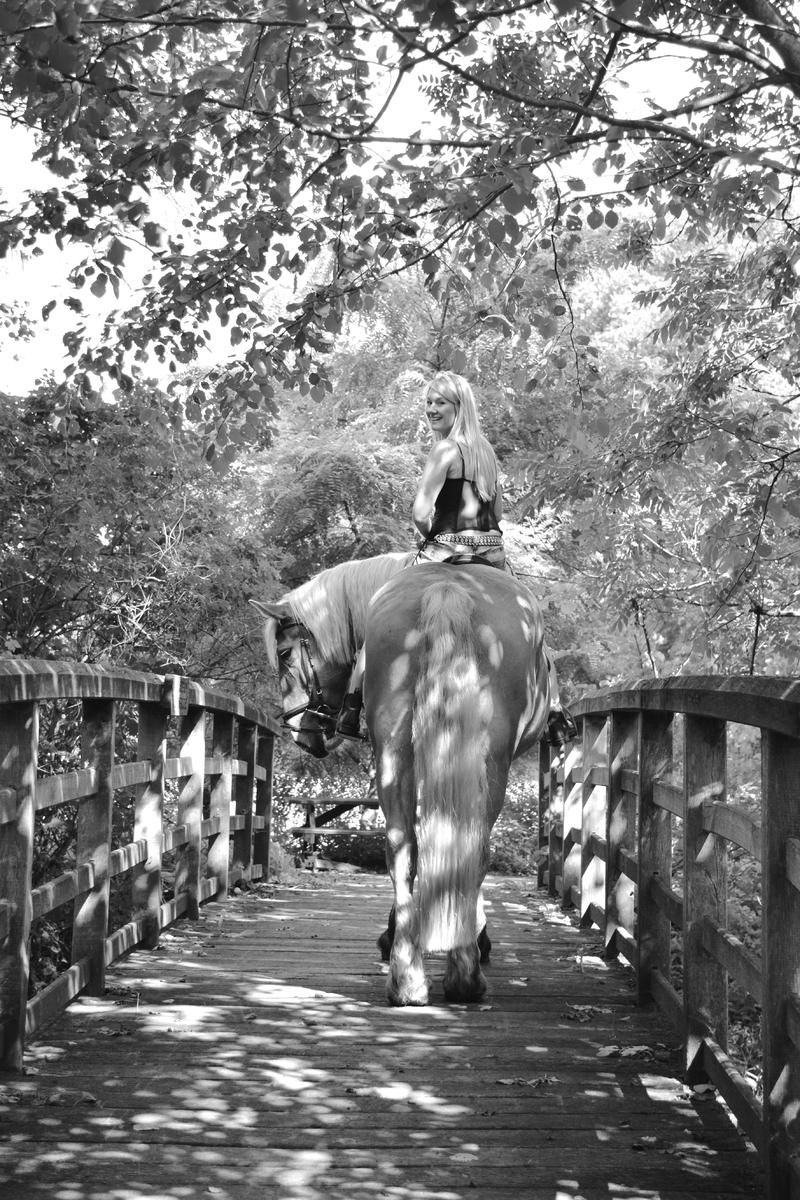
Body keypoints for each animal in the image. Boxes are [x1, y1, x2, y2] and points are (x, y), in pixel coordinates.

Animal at [252, 553, 553, 1006]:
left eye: (286, 653)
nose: (301, 733)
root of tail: (447, 589)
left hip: (394, 752)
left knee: (401, 846)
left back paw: (407, 977)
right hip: (487, 759)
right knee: (471, 844)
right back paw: (462, 970)